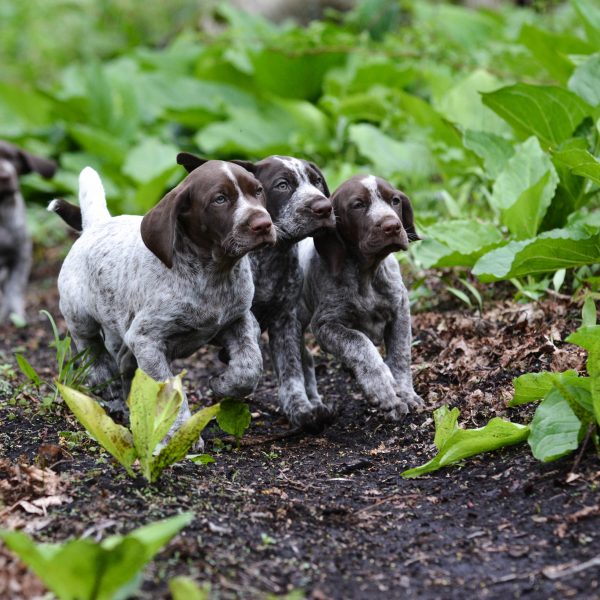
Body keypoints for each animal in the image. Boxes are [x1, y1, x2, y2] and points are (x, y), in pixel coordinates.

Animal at [51, 163, 276, 436]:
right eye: (219, 199)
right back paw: (105, 379)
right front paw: (176, 434)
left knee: (124, 361)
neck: (213, 273)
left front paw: (223, 384)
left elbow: (249, 366)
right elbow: (168, 391)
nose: (264, 224)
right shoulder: (147, 340)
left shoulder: (238, 319)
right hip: (79, 315)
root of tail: (96, 224)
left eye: (258, 191)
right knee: (90, 346)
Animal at [178, 152, 338, 428]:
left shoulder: (285, 319)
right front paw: (225, 384)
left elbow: (291, 368)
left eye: (317, 181)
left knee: (305, 359)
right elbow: (248, 352)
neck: (270, 256)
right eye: (282, 185)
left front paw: (300, 406)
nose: (324, 207)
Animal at [298, 177, 422, 422]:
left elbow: (400, 355)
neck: (366, 273)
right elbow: (359, 343)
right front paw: (382, 387)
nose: (392, 226)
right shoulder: (325, 325)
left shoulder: (400, 311)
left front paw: (405, 393)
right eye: (358, 205)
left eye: (395, 200)